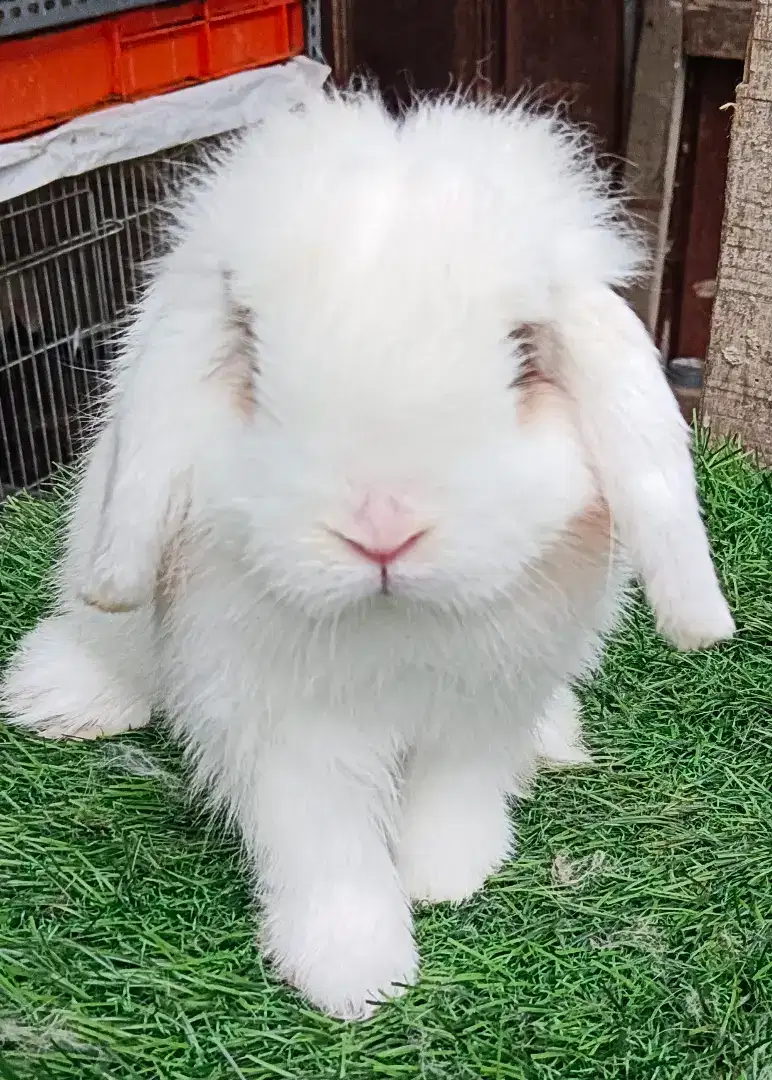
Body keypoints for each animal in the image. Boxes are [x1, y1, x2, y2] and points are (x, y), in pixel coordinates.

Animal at [1, 86, 738, 1019]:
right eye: (250, 349)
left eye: (525, 353)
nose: (382, 530)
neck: (396, 628)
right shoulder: (283, 725)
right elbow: (325, 845)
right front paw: (353, 976)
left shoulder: (485, 705)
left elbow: (455, 792)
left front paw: (448, 878)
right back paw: (55, 700)